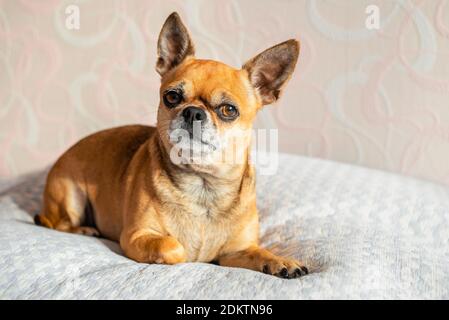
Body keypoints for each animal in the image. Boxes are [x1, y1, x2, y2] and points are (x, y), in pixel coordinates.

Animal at [35, 11, 308, 278]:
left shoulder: (237, 251)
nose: (193, 112)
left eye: (229, 110)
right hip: (70, 197)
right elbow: (173, 246)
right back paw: (84, 229)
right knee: (58, 223)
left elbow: (259, 253)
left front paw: (280, 261)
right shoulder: (136, 235)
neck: (203, 183)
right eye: (172, 97)